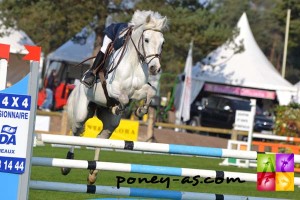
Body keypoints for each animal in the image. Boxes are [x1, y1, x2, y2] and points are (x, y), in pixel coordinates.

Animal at [61, 9, 169, 184]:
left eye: (163, 42)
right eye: (146, 40)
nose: (154, 68)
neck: (134, 62)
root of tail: (78, 85)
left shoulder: (136, 91)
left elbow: (150, 92)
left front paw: (140, 110)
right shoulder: (114, 89)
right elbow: (123, 98)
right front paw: (119, 108)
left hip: (110, 124)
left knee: (101, 138)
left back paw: (93, 172)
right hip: (81, 113)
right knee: (76, 133)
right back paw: (67, 165)